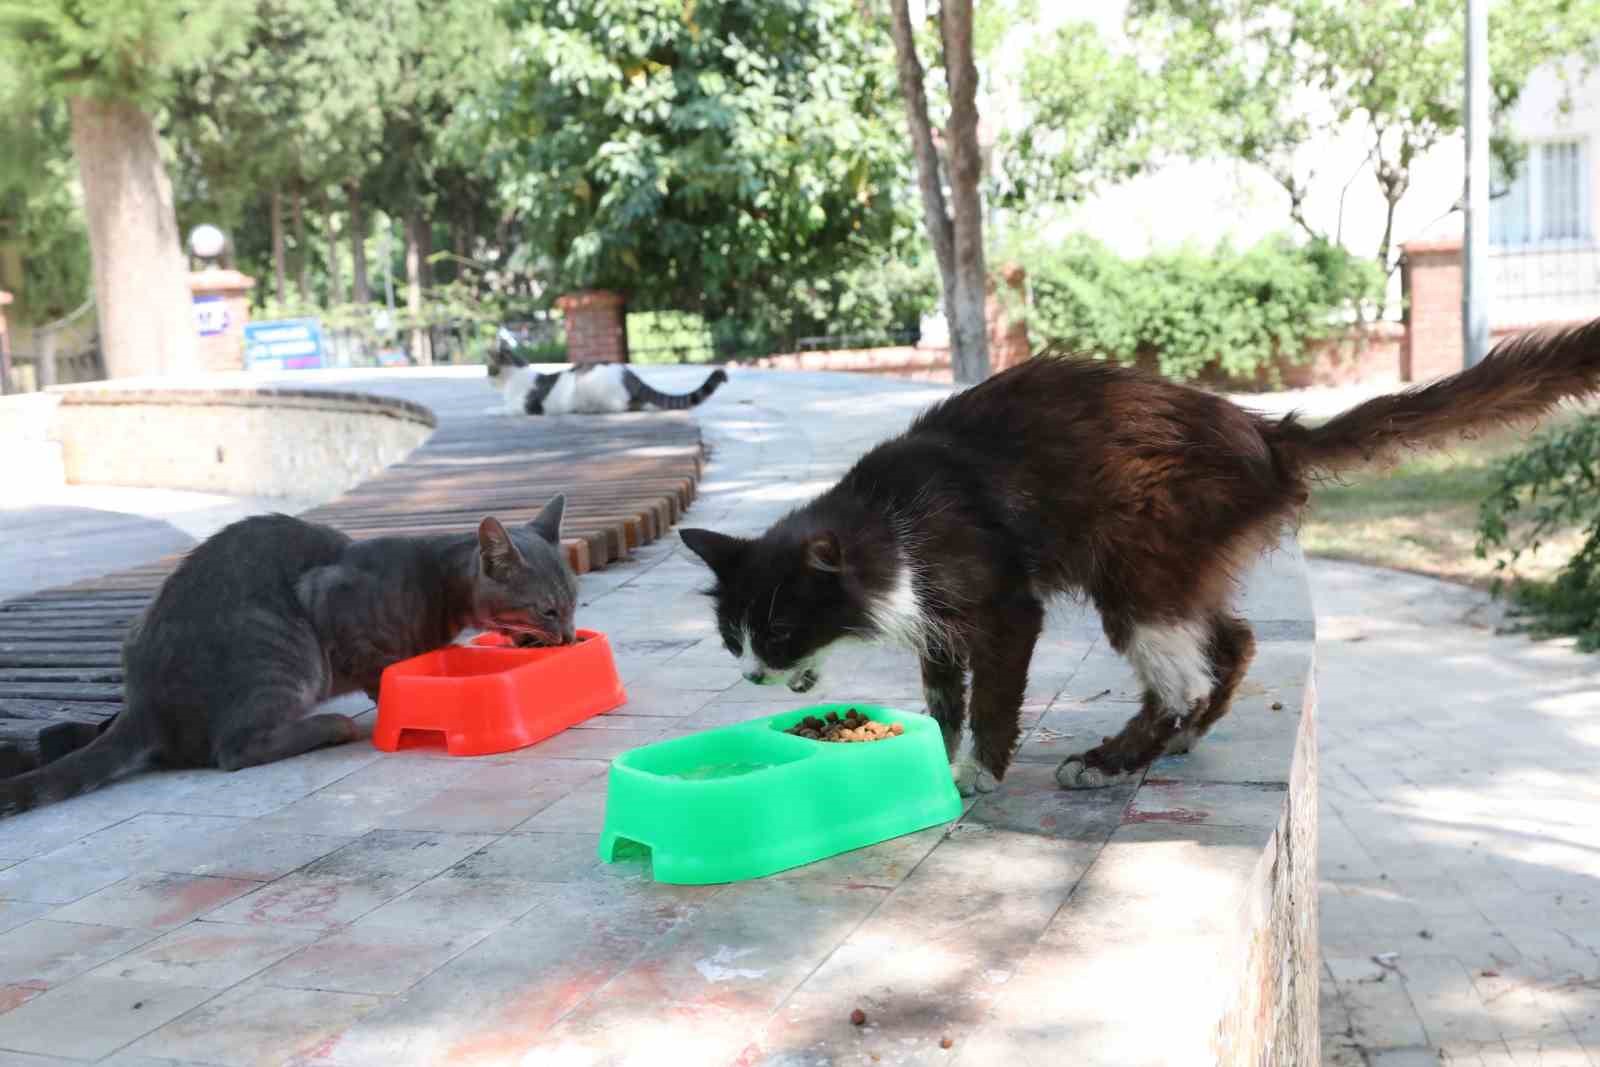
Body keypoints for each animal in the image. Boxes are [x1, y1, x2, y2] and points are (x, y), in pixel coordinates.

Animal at [0, 499, 576, 819]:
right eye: (548, 610)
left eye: (573, 604)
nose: (570, 638)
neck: (436, 580)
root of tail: (142, 702)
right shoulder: (334, 607)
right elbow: (382, 672)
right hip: (282, 645)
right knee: (234, 749)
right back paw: (331, 725)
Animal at [486, 329, 732, 415]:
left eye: (489, 368)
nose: (487, 378)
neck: (516, 372)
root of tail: (629, 375)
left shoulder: (521, 406)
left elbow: (506, 409)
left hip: (591, 388)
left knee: (625, 405)